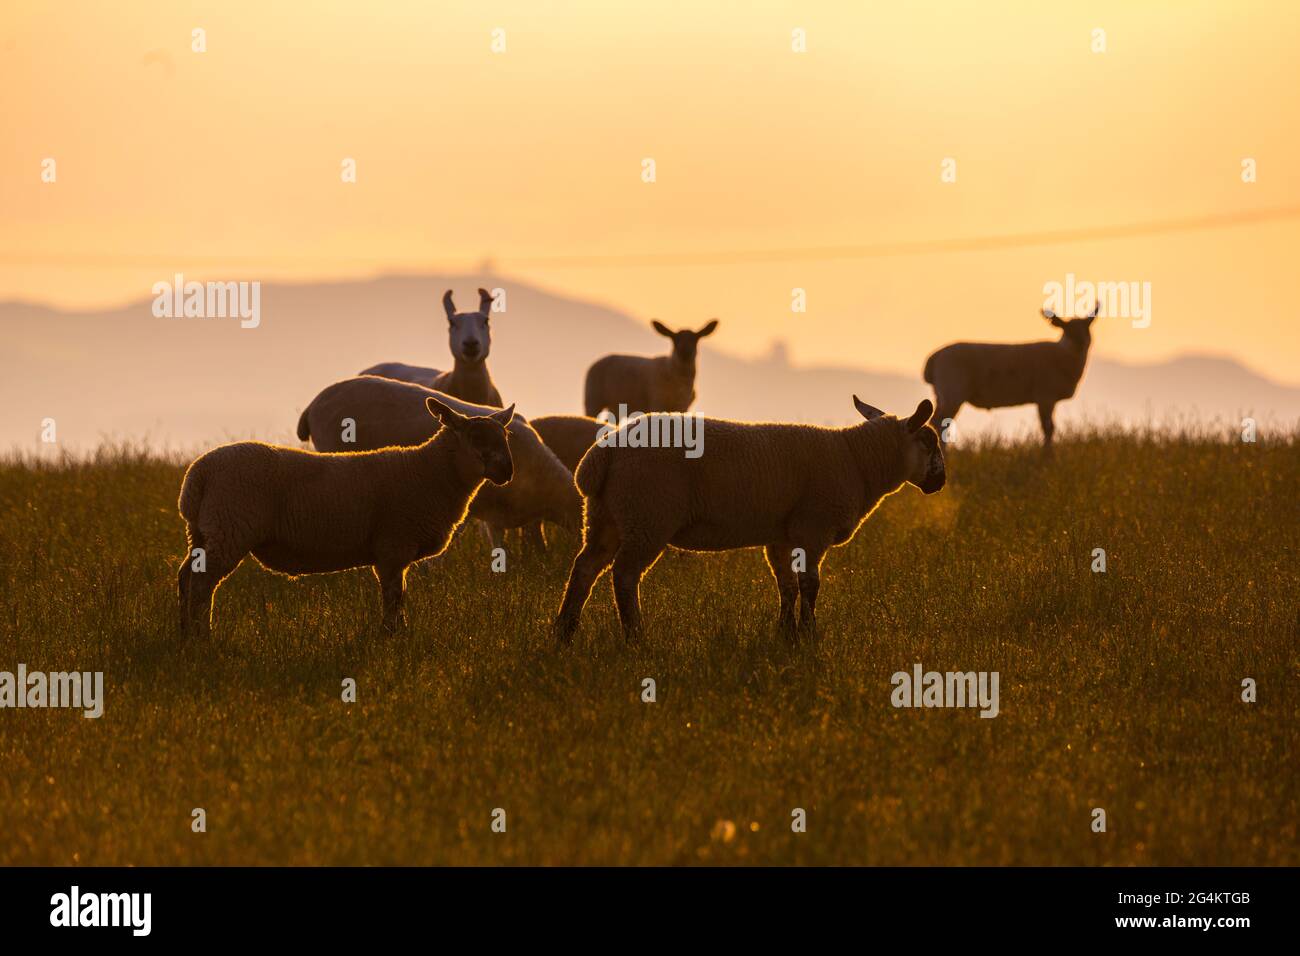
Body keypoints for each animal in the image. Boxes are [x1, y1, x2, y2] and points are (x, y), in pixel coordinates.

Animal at [177, 397, 516, 636]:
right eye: (475, 436)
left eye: (505, 435)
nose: (506, 471)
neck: (429, 471)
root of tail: (198, 475)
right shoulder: (393, 546)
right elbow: (394, 596)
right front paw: (392, 635)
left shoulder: (393, 551)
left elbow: (398, 595)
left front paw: (398, 632)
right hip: (230, 527)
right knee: (203, 584)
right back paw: (204, 636)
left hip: (204, 531)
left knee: (186, 576)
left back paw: (184, 633)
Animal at [552, 397, 945, 643]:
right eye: (929, 442)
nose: (939, 482)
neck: (858, 461)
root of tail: (600, 456)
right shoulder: (813, 527)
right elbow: (810, 585)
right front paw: (809, 634)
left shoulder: (783, 535)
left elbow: (787, 586)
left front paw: (786, 635)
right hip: (647, 515)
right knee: (624, 576)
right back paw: (636, 637)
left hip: (606, 517)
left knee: (585, 567)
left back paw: (564, 632)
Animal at [583, 319, 718, 418]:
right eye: (674, 339)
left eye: (696, 339)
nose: (685, 352)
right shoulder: (657, 400)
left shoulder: (683, 406)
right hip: (592, 398)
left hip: (616, 404)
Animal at [923, 301, 1101, 447]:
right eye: (1066, 329)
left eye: (1087, 327)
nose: (1079, 342)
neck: (1063, 356)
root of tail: (933, 359)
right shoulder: (1045, 396)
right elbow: (1048, 429)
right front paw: (1048, 459)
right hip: (952, 391)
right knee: (939, 423)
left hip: (941, 394)